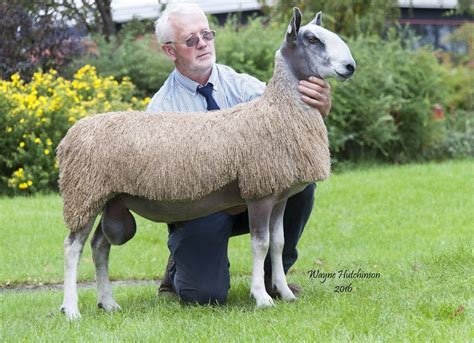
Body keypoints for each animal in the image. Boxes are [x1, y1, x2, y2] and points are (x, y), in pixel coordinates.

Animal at [57, 6, 356, 322]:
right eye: (311, 39)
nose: (350, 67)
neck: (276, 111)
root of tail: (69, 137)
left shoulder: (280, 196)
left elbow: (278, 243)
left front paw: (285, 292)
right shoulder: (259, 194)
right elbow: (260, 244)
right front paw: (262, 297)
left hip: (111, 200)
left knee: (99, 247)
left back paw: (107, 302)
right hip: (84, 195)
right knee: (72, 248)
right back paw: (71, 309)